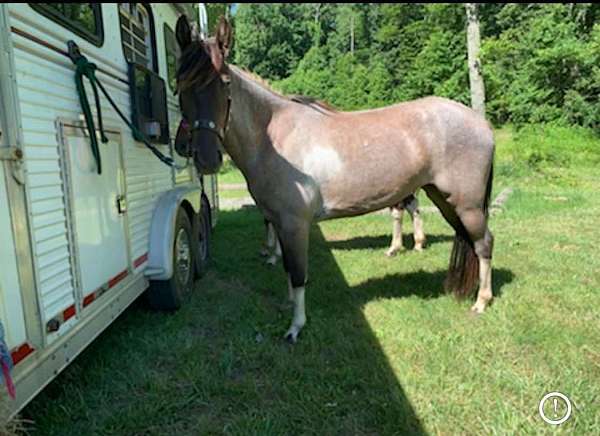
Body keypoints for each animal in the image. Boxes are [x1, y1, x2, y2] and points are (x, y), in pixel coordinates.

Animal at [176, 17, 494, 344]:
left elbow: (298, 273)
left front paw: (296, 326)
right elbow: (288, 268)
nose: (205, 158)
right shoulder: (279, 222)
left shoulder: (295, 223)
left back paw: (481, 302)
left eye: (224, 82)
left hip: (466, 205)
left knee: (484, 243)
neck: (273, 139)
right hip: (443, 199)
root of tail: (481, 123)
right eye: (180, 85)